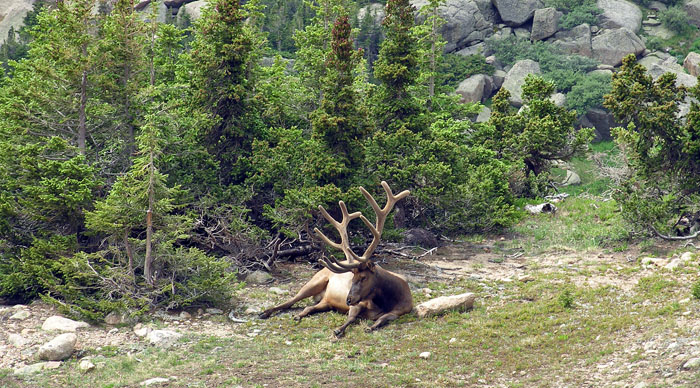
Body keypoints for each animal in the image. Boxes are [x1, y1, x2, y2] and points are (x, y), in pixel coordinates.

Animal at [258, 182, 412, 336]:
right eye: (352, 278)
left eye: (363, 277)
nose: (348, 299)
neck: (387, 301)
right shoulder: (359, 304)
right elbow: (352, 318)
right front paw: (339, 329)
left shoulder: (401, 311)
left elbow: (383, 318)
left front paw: (370, 327)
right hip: (314, 282)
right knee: (292, 300)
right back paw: (265, 312)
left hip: (326, 301)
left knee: (309, 307)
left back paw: (298, 315)